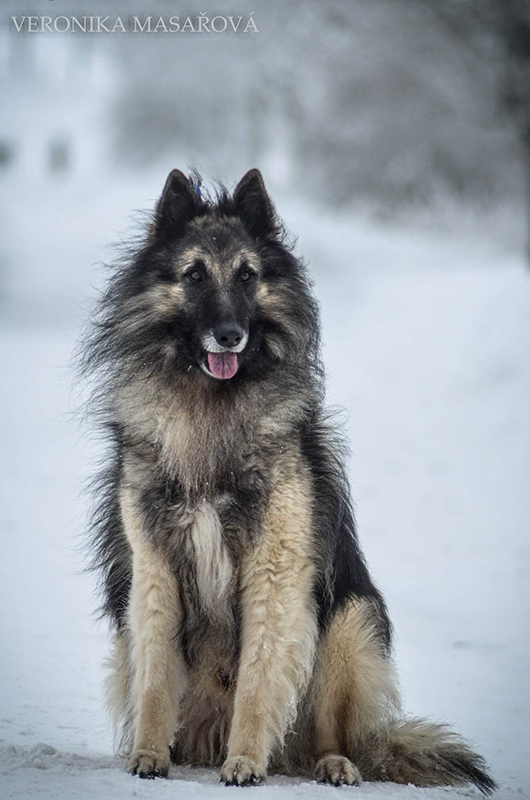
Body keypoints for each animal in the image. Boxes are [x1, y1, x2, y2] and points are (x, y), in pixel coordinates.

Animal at [80, 166, 492, 792]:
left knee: (331, 730)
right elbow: (154, 679)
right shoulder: (153, 571)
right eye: (194, 275)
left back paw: (333, 763)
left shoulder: (276, 572)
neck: (211, 406)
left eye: (248, 275)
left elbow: (258, 677)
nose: (229, 334)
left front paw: (246, 762)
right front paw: (148, 754)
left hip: (350, 622)